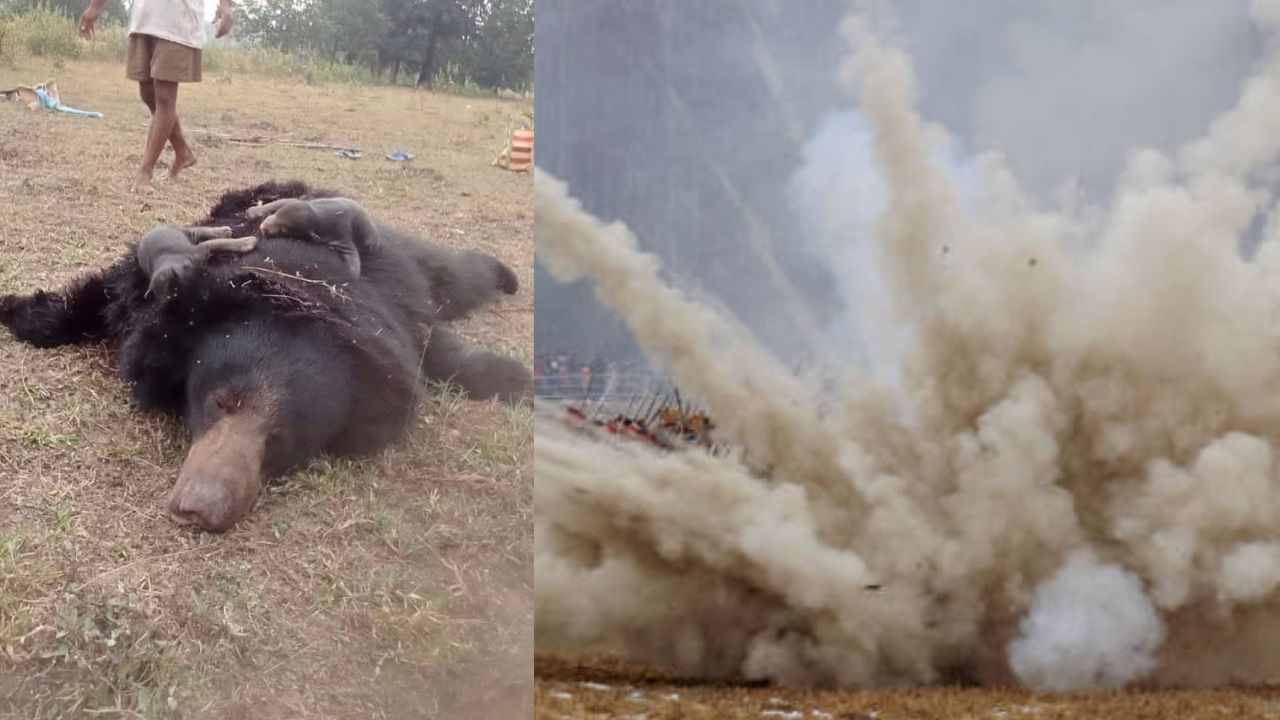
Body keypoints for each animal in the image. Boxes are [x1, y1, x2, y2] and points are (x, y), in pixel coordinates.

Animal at [0, 180, 531, 532]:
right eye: (218, 401)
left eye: (282, 439)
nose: (201, 506)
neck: (292, 291)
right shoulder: (149, 299)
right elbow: (101, 295)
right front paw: (23, 311)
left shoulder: (392, 317)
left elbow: (440, 349)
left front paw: (514, 377)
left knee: (454, 275)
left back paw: (505, 277)